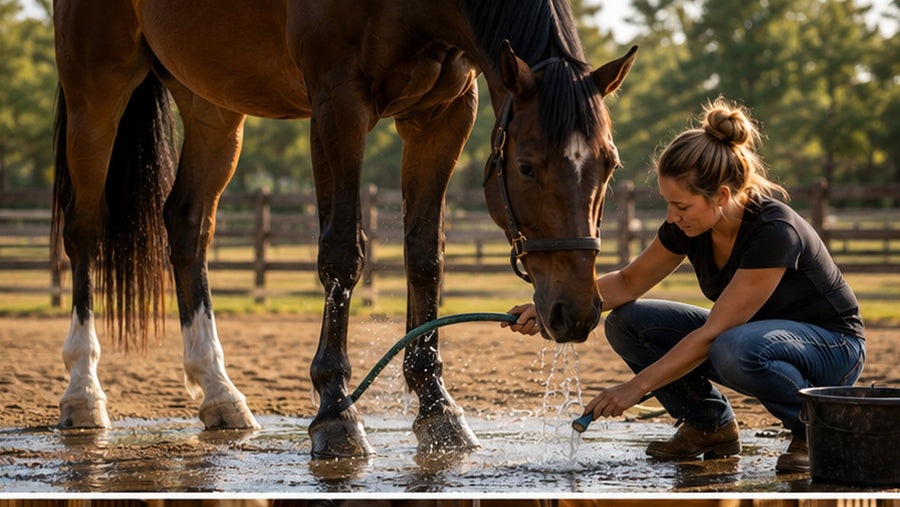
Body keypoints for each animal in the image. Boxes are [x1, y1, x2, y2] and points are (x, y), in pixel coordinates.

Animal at [51, 0, 636, 458]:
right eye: (528, 167)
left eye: (609, 163)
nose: (576, 313)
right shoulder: (339, 105)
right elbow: (342, 253)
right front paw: (336, 412)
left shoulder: (442, 114)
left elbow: (425, 254)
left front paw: (437, 408)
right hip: (96, 88)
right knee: (84, 228)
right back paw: (83, 391)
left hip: (212, 103)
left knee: (188, 226)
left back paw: (219, 393)